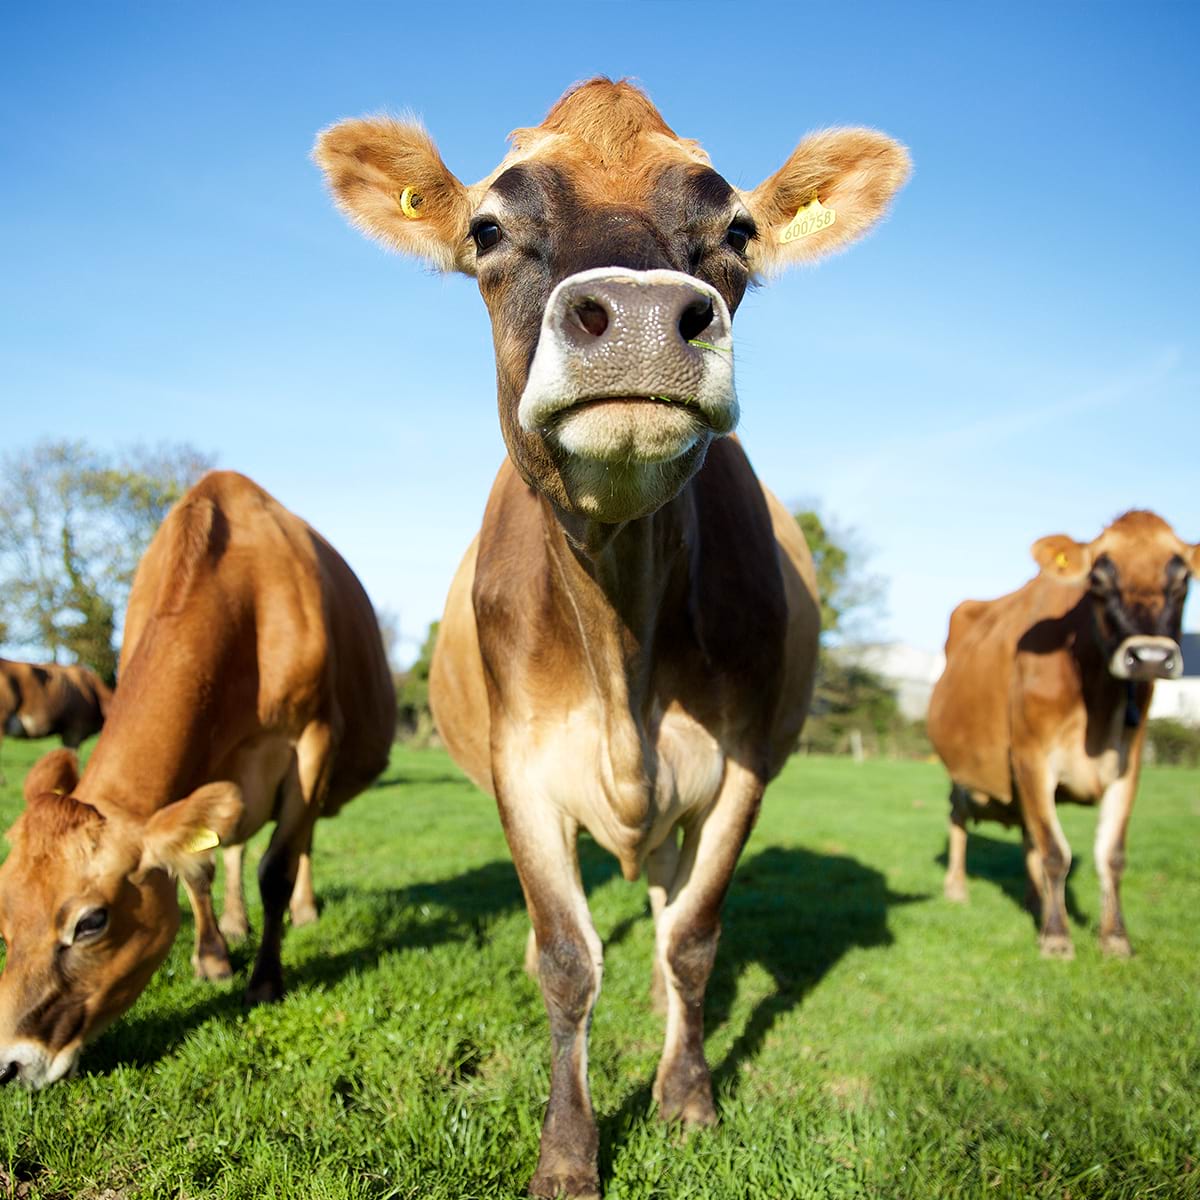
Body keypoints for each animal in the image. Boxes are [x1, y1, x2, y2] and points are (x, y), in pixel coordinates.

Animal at [0, 470, 395, 1087]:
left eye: (91, 922)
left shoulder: (313, 738)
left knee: (302, 839)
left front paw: (265, 980)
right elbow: (197, 867)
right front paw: (212, 958)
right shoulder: (199, 765)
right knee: (234, 845)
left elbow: (277, 867)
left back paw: (303, 911)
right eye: (3, 914)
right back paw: (234, 923)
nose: (9, 1063)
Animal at [316, 78, 908, 1197]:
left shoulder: (742, 764)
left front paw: (688, 1098)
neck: (619, 629)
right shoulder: (520, 770)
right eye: (489, 228)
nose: (637, 321)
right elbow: (565, 957)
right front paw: (567, 1152)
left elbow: (694, 939)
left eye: (736, 229)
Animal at [928, 510, 1198, 959]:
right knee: (958, 815)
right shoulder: (1032, 756)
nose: (1150, 657)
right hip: (964, 772)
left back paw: (1035, 900)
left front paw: (1114, 937)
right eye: (1098, 579)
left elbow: (1110, 854)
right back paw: (957, 888)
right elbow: (1055, 852)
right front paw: (1056, 937)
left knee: (1028, 835)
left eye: (1182, 579)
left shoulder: (1128, 764)